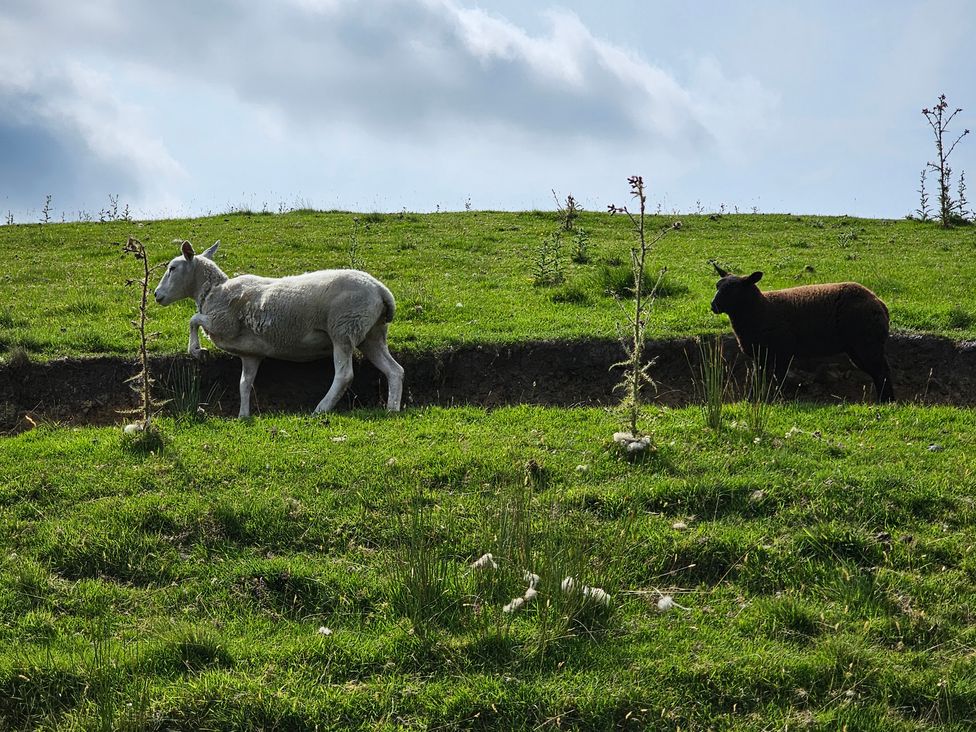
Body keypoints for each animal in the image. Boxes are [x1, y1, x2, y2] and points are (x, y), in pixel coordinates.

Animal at [155, 240, 404, 418]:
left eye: (172, 268)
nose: (157, 295)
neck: (214, 291)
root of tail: (381, 290)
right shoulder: (250, 353)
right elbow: (244, 385)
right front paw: (243, 415)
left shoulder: (223, 323)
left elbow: (193, 319)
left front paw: (197, 351)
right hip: (371, 334)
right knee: (395, 370)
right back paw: (392, 409)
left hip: (343, 329)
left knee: (344, 375)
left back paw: (320, 409)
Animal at [708, 264, 892, 400]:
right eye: (717, 286)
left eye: (732, 290)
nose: (713, 305)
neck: (762, 309)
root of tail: (879, 302)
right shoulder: (760, 355)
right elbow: (757, 379)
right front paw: (754, 399)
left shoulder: (782, 352)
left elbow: (777, 379)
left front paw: (776, 399)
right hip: (858, 347)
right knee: (879, 371)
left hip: (867, 343)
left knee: (881, 371)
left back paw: (886, 401)